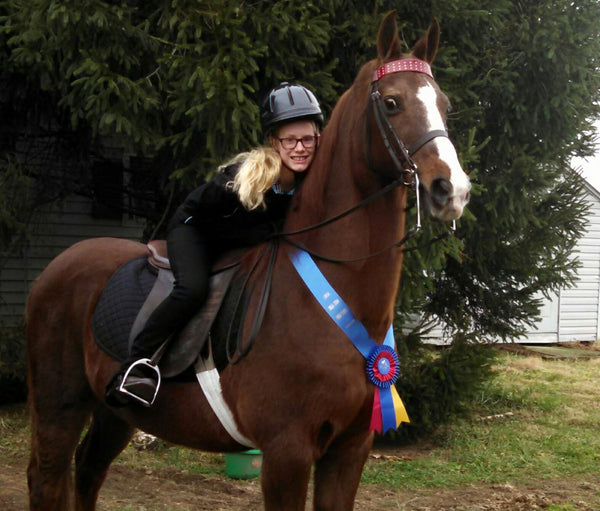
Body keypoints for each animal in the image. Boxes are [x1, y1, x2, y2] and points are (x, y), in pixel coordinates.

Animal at [27, 12, 468, 511]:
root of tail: (60, 264)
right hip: (60, 404)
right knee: (48, 478)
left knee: (87, 472)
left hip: (115, 413)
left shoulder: (349, 449)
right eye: (392, 103)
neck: (326, 292)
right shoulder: (286, 452)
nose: (452, 189)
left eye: (445, 106)